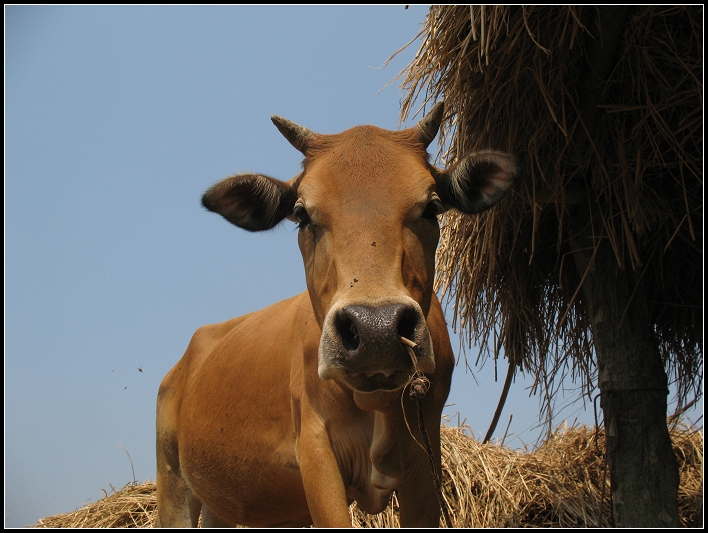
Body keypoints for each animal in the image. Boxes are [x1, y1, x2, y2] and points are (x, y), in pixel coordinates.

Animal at [155, 102, 519, 527]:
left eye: (431, 207)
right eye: (301, 214)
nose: (377, 330)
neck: (376, 404)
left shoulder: (425, 459)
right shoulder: (316, 451)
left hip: (222, 500)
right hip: (172, 480)